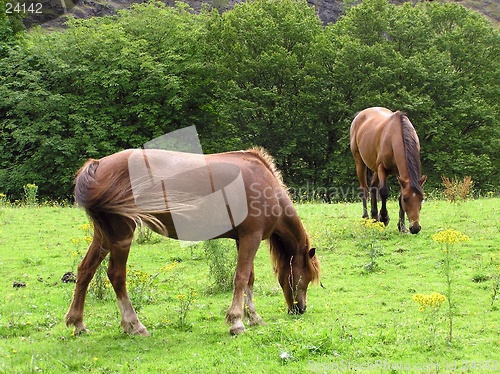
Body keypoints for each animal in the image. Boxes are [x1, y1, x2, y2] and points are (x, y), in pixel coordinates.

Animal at [65, 147, 320, 336]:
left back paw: (78, 323)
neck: (265, 185)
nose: (301, 309)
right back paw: (135, 325)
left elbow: (249, 279)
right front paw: (237, 322)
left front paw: (254, 317)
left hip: (104, 235)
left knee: (86, 270)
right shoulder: (251, 237)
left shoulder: (244, 239)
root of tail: (98, 165)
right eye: (306, 277)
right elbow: (240, 278)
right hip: (121, 233)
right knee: (116, 275)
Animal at [350, 106, 428, 234]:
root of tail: (360, 114)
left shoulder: (401, 175)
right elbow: (383, 192)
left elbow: (397, 195)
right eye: (406, 199)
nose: (415, 228)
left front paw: (402, 226)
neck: (394, 137)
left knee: (373, 187)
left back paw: (374, 218)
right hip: (359, 162)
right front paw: (384, 218)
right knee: (364, 189)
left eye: (421, 198)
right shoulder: (382, 168)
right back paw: (366, 218)